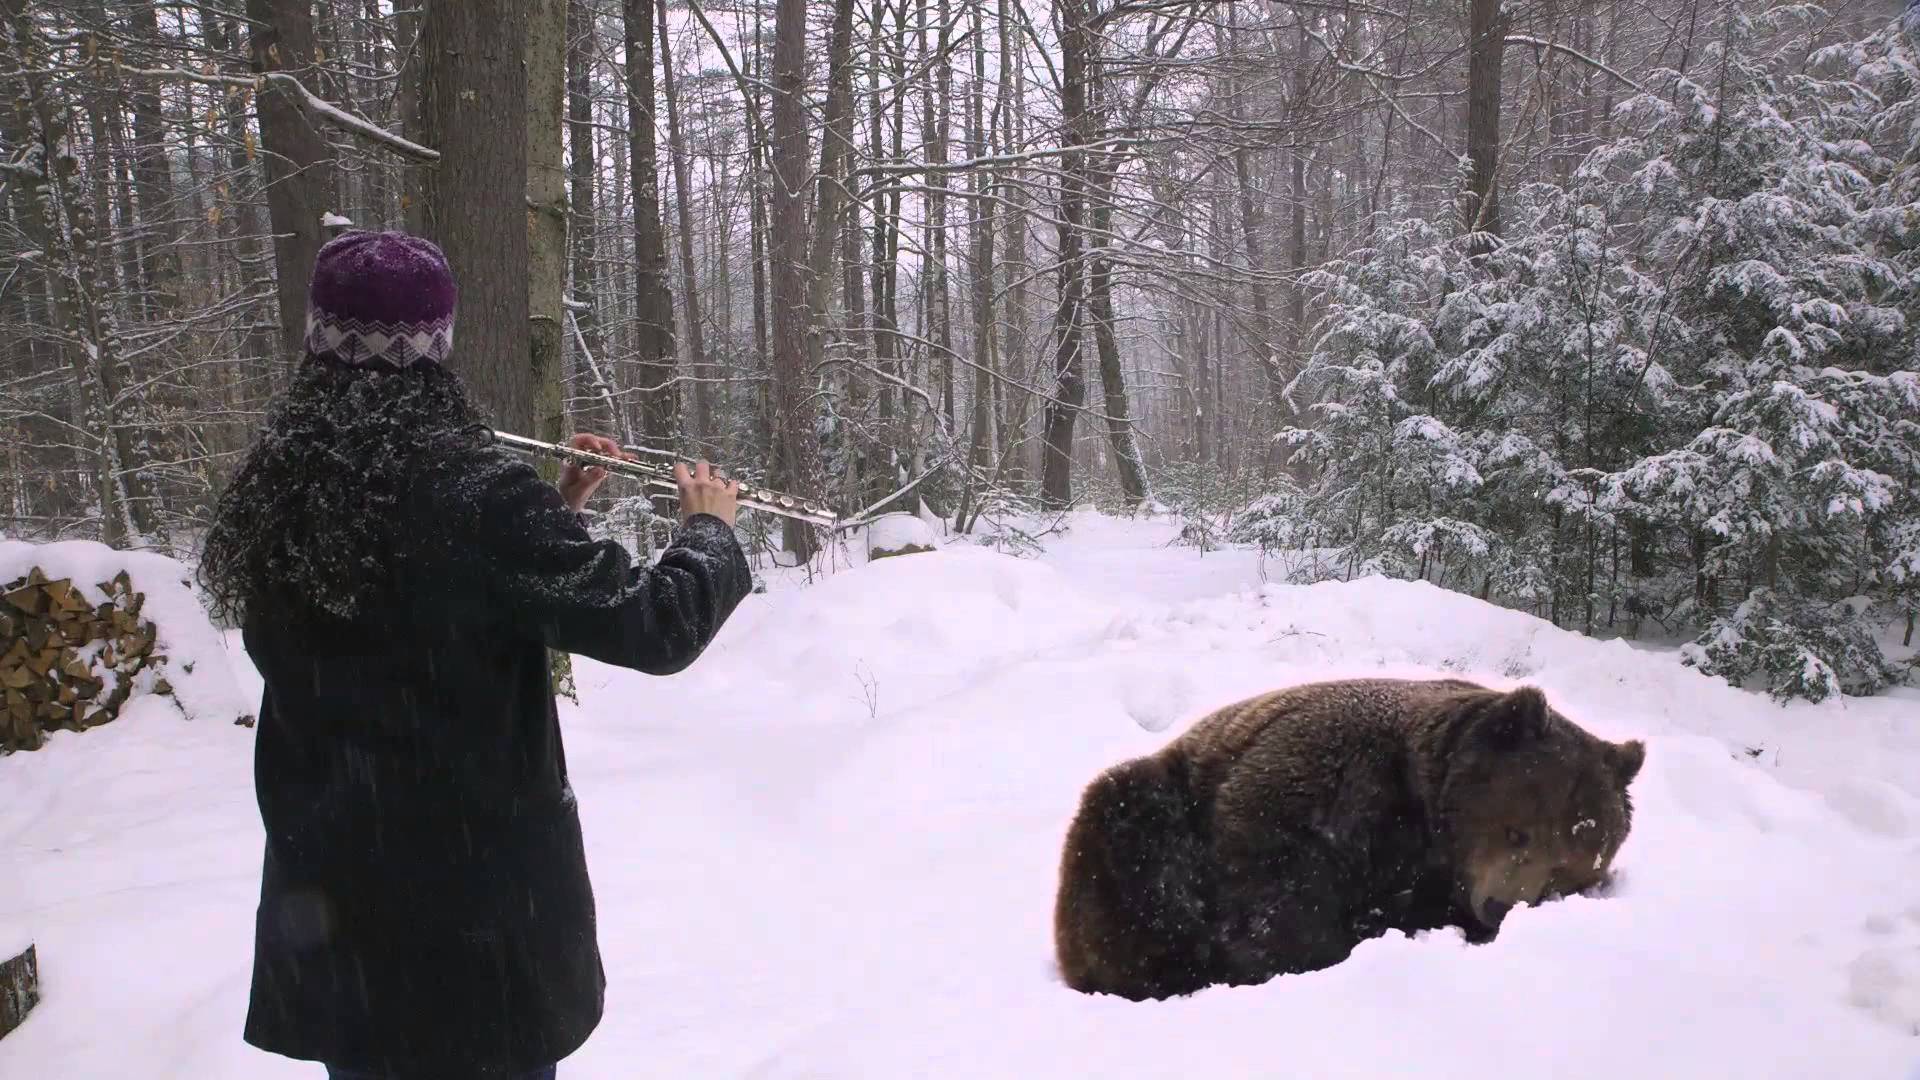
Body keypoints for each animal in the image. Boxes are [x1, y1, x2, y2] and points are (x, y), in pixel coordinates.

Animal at [1052, 677, 1645, 1001]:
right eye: (1517, 830)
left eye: (1565, 869)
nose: (1500, 906)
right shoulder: (1314, 784)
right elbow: (1278, 896)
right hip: (1153, 814)